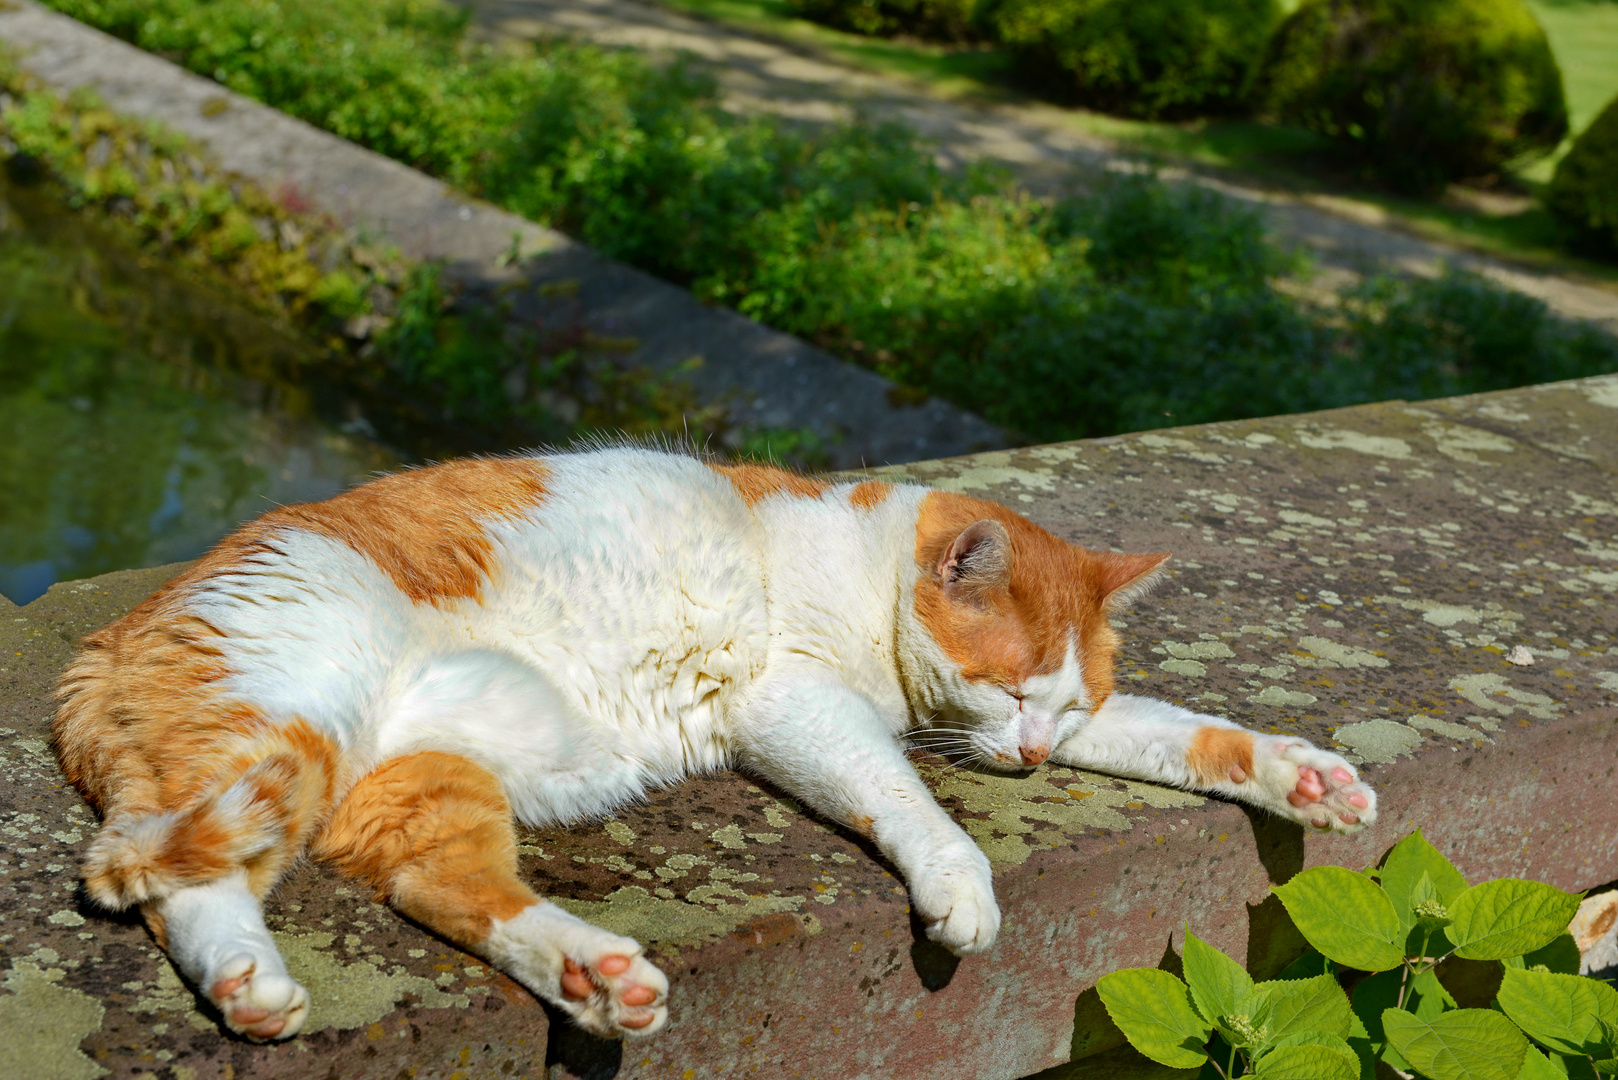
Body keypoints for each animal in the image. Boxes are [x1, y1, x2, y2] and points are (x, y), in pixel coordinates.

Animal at [57, 446, 1378, 1036]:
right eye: (1010, 694)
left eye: (1062, 707)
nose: (1038, 757)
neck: (862, 574)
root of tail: (109, 637)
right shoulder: (792, 706)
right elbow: (905, 798)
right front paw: (959, 882)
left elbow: (1180, 733)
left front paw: (1301, 774)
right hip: (298, 709)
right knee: (157, 865)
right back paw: (253, 981)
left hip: (426, 779)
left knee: (437, 885)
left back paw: (588, 978)